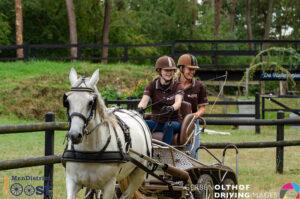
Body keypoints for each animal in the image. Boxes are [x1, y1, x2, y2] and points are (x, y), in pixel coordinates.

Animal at [63, 67, 152, 198]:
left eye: (91, 102)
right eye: (67, 101)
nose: (74, 135)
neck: (90, 152)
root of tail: (136, 113)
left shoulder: (109, 185)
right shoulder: (72, 181)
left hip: (139, 174)